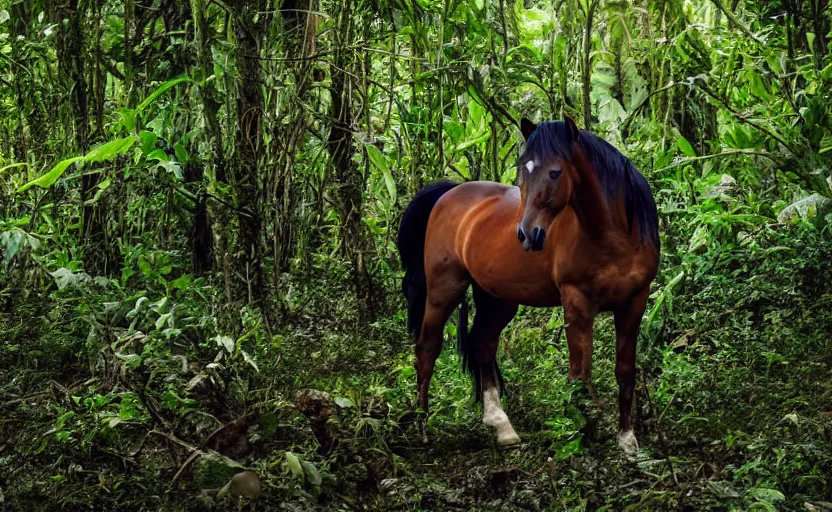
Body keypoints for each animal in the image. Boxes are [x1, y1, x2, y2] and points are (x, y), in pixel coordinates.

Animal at [400, 116, 660, 452]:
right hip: (444, 290)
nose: (526, 235)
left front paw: (627, 441)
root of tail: (450, 193)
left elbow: (625, 372)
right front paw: (581, 433)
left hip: (497, 299)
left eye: (555, 172)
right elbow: (580, 374)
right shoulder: (577, 304)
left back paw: (501, 425)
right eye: (523, 169)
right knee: (427, 347)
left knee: (483, 343)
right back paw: (422, 425)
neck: (612, 238)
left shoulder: (634, 303)